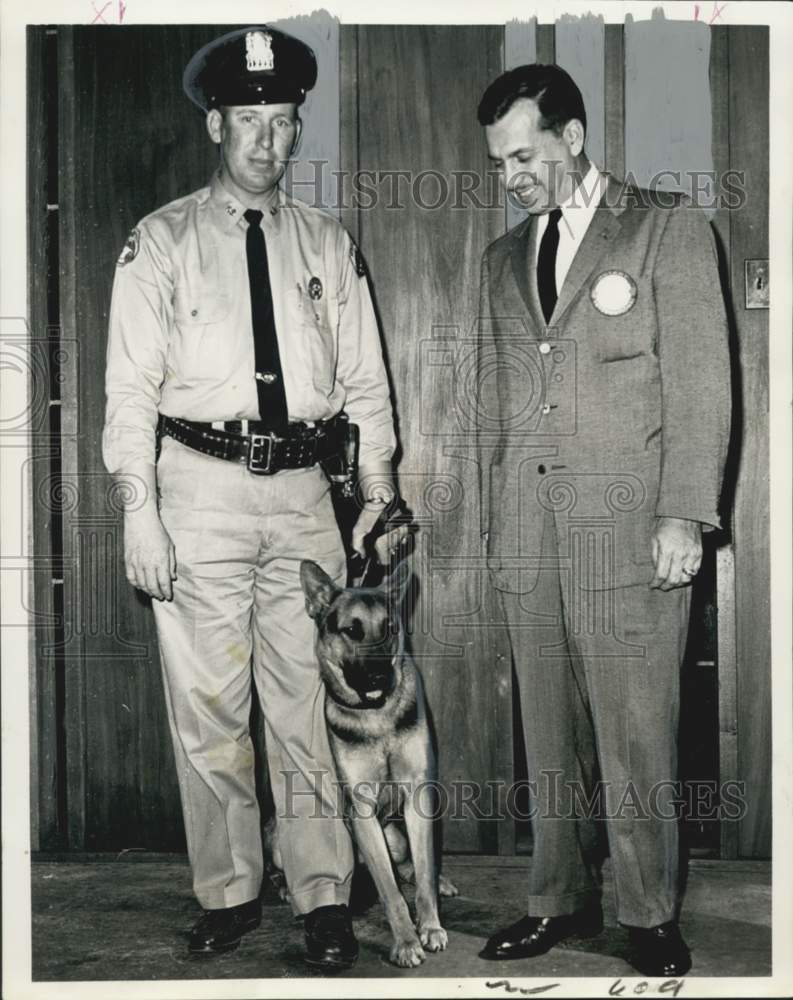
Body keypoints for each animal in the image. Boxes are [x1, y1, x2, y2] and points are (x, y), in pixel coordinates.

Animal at [290, 560, 458, 964]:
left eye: (390, 629)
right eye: (352, 630)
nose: (382, 676)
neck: (377, 717)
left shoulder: (418, 797)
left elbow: (423, 876)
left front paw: (430, 926)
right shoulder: (362, 812)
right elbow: (389, 889)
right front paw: (406, 942)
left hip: (397, 835)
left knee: (412, 866)